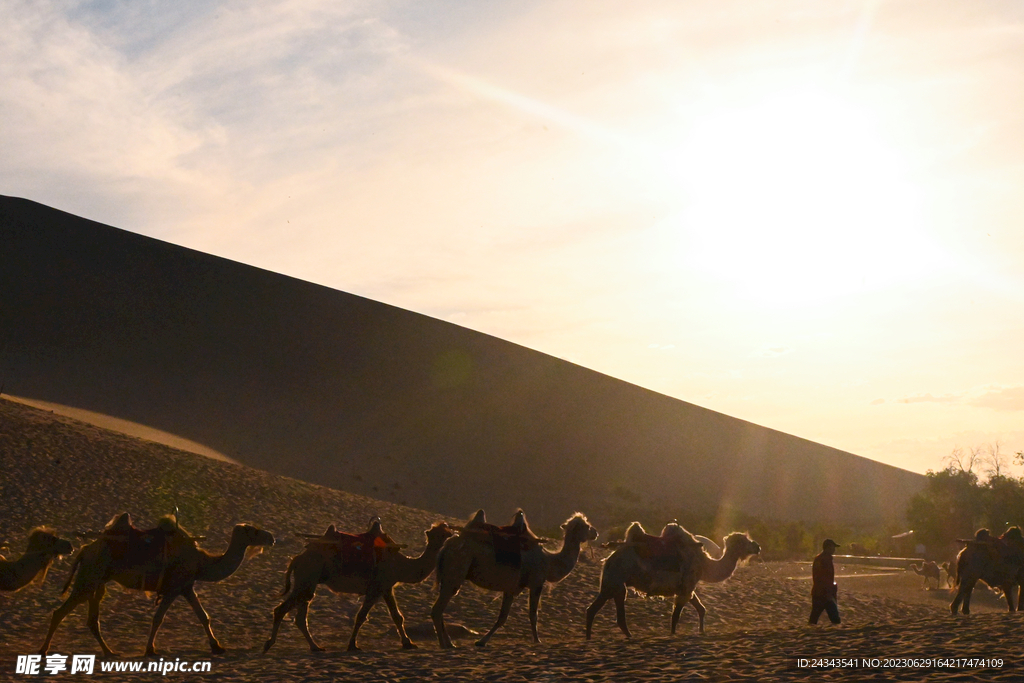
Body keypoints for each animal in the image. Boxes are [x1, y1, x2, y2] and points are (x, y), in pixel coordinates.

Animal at [39, 511, 274, 655]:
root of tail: (84, 550)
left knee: (92, 619)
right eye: (253, 530)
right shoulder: (173, 588)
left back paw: (109, 652)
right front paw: (150, 650)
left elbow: (203, 616)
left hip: (98, 580)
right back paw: (43, 650)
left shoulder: (187, 586)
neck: (201, 561)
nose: (271, 537)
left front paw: (217, 647)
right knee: (60, 612)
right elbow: (158, 619)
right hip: (89, 575)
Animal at [264, 524, 456, 651]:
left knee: (300, 614)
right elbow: (361, 616)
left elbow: (397, 616)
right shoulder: (375, 588)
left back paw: (315, 647)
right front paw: (352, 645)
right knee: (281, 610)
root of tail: (297, 558)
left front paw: (408, 643)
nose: (451, 532)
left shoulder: (387, 588)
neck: (401, 564)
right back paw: (269, 644)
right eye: (440, 531)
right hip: (308, 574)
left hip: (308, 580)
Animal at [432, 509, 598, 651]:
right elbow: (533, 615)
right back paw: (444, 644)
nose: (595, 532)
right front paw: (537, 641)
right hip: (456, 571)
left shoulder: (511, 589)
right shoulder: (537, 583)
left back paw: (449, 643)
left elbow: (502, 617)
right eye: (586, 526)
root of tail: (446, 546)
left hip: (449, 576)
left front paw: (481, 641)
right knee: (437, 609)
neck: (549, 562)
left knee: (440, 608)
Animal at [585, 524, 761, 643]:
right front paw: (673, 635)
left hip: (610, 585)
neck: (705, 565)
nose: (757, 546)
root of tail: (608, 560)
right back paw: (628, 636)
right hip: (616, 581)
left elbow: (701, 609)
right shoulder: (687, 586)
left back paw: (589, 638)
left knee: (592, 610)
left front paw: (701, 632)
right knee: (617, 613)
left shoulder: (687, 588)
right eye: (744, 541)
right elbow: (676, 616)